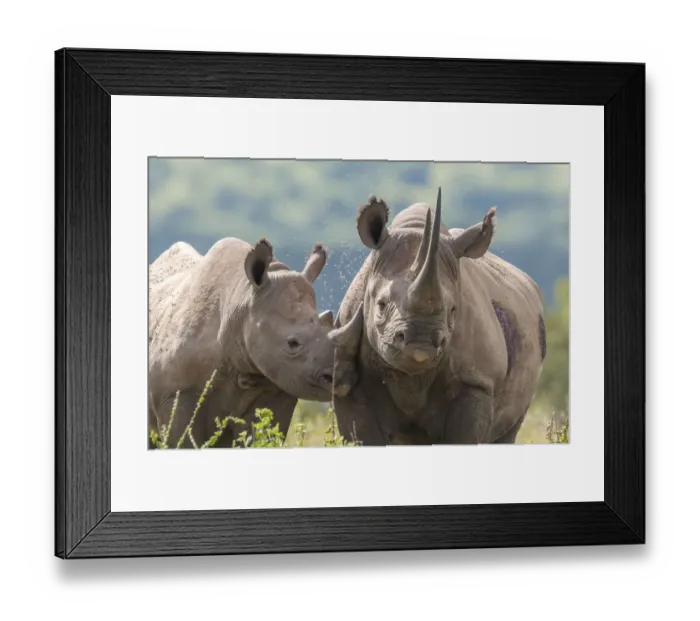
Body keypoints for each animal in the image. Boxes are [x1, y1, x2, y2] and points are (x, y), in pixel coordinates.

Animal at [329, 188, 547, 445]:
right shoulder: (351, 384)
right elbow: (362, 435)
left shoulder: (477, 381)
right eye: (381, 305)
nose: (420, 342)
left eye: (453, 311)